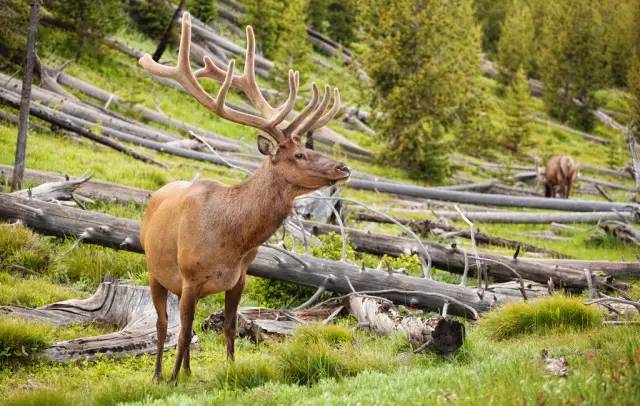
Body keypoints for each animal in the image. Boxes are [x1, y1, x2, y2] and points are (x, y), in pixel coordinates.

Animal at [139, 13, 350, 384]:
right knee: (163, 326)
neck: (233, 239)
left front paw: (230, 371)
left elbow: (229, 328)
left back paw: (189, 371)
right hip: (155, 271)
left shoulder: (240, 278)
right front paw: (173, 380)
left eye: (309, 148)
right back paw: (160, 375)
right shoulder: (190, 278)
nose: (343, 167)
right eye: (299, 155)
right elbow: (183, 332)